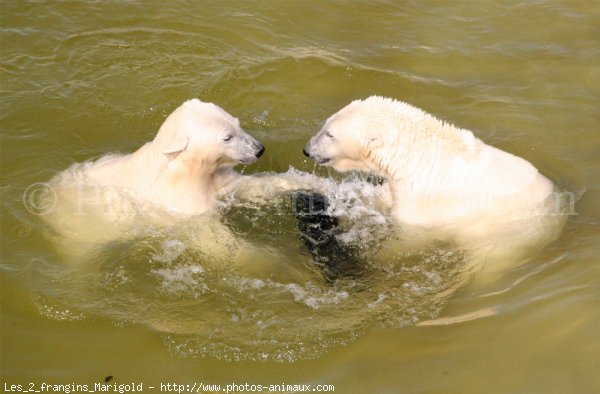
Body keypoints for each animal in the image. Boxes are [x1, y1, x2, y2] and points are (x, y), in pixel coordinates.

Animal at [304, 96, 568, 274]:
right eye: (325, 125)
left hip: (504, 241)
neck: (417, 156)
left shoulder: (423, 204)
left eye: (330, 134)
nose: (307, 149)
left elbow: (404, 240)